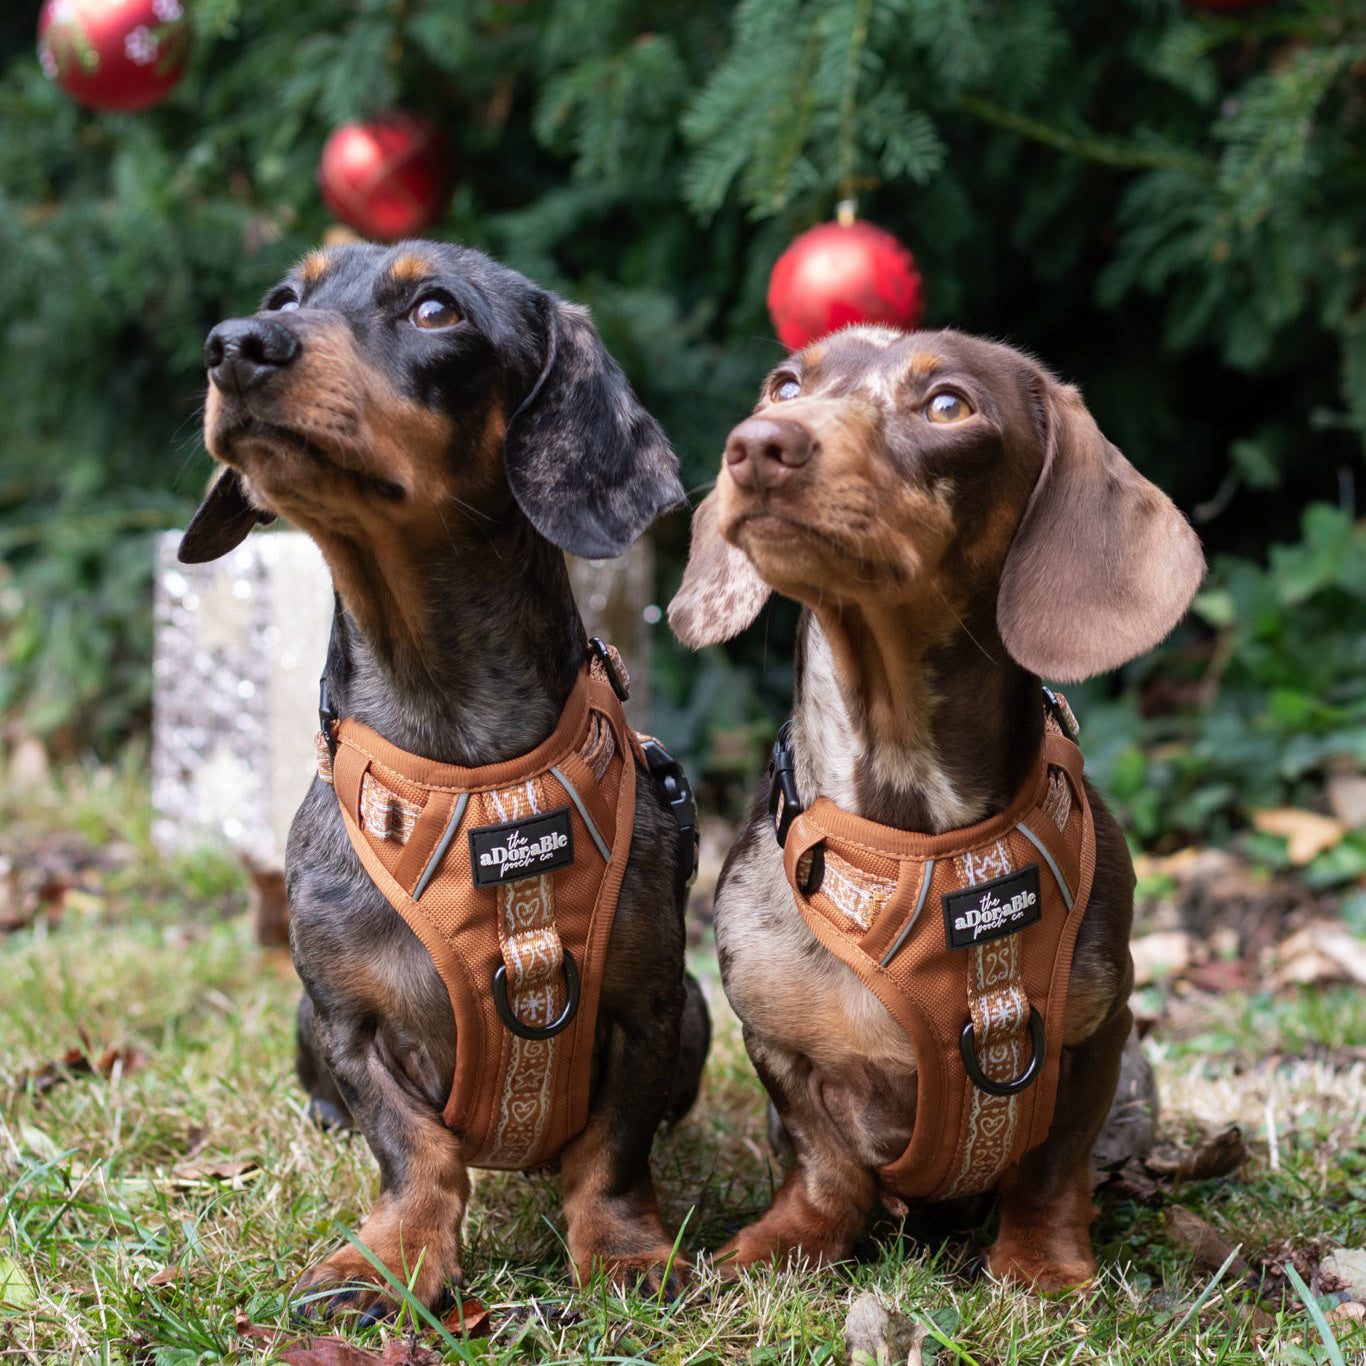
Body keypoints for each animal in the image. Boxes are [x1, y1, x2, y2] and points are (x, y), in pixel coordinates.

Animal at [177, 240, 710, 1316]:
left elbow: (610, 1153)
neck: (471, 773)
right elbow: (413, 1149)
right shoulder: (347, 1022)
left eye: (436, 310)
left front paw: (624, 1248)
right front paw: (386, 1257)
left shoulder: (648, 1007)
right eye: (282, 296)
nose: (234, 344)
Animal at [666, 325, 1202, 1284]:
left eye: (948, 404)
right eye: (785, 385)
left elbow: (1054, 1163)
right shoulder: (777, 1048)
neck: (916, 835)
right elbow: (824, 1161)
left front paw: (1043, 1263)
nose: (757, 446)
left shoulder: (1098, 1034)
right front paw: (789, 1238)